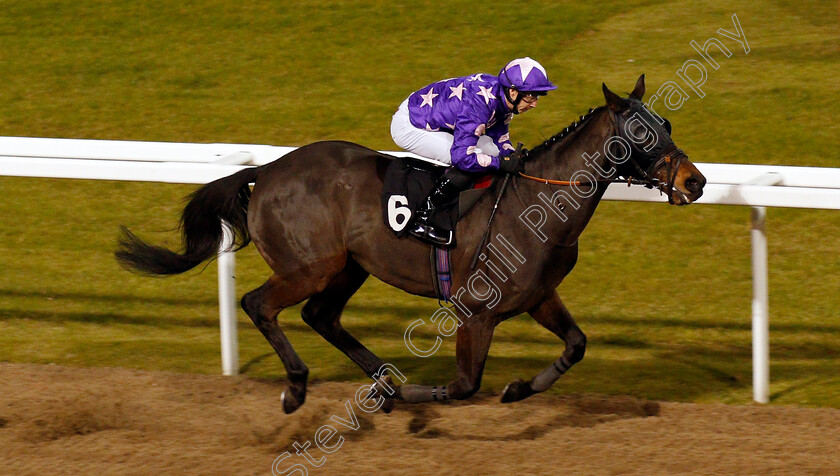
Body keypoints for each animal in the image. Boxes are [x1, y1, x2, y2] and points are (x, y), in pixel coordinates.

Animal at [116, 74, 704, 412]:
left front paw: (517, 389)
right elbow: (465, 386)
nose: (695, 181)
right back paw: (300, 387)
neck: (538, 203)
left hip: (348, 266)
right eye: (641, 133)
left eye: (668, 123)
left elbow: (577, 344)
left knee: (319, 315)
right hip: (311, 265)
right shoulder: (475, 310)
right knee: (259, 303)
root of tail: (267, 171)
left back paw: (381, 385)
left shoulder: (538, 295)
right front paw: (421, 397)